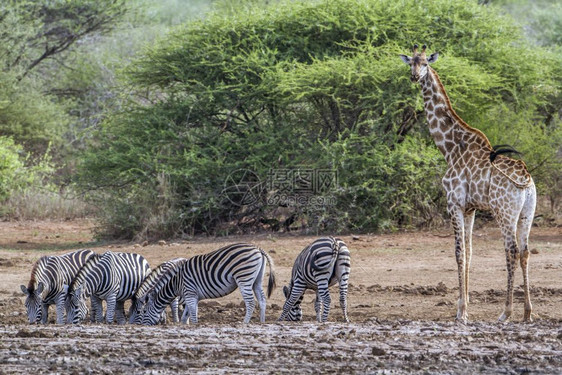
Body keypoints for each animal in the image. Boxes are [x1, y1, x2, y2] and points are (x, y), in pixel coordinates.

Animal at [141, 244, 274, 326]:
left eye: (144, 311)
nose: (140, 325)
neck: (177, 283)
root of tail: (258, 248)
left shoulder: (190, 293)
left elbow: (192, 316)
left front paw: (194, 325)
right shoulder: (191, 296)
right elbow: (186, 316)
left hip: (244, 278)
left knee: (250, 302)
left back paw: (244, 323)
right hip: (257, 280)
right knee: (262, 300)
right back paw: (262, 322)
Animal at [398, 44, 532, 324]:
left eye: (425, 62)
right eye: (411, 62)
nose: (414, 76)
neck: (449, 147)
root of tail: (525, 179)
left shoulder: (454, 204)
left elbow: (459, 252)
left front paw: (461, 311)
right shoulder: (470, 208)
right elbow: (469, 253)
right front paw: (465, 305)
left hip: (504, 212)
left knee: (511, 250)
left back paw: (506, 312)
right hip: (527, 213)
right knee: (525, 251)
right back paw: (527, 312)